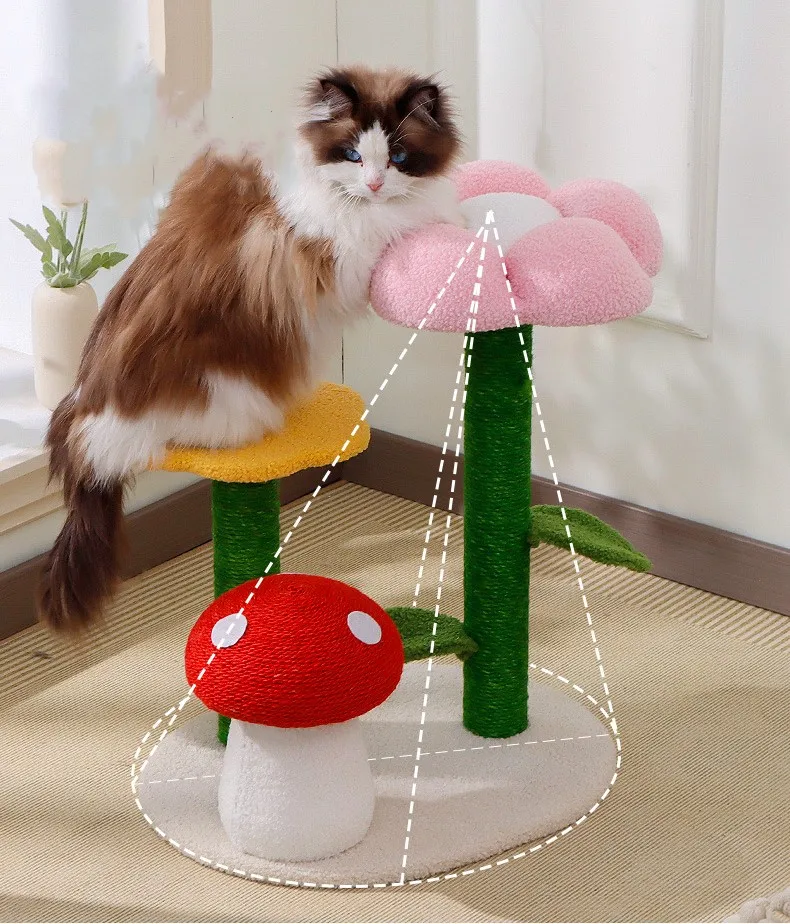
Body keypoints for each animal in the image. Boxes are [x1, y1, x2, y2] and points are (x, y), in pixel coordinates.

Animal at [39, 65, 464, 634]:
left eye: (397, 157)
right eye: (353, 155)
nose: (374, 183)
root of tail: (84, 420)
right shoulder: (344, 257)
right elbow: (412, 220)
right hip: (231, 399)